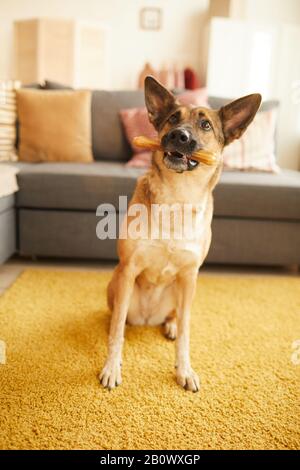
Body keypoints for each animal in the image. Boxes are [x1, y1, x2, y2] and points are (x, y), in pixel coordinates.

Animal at [99, 76, 262, 392]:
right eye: (173, 118)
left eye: (206, 125)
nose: (179, 136)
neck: (178, 196)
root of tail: (148, 319)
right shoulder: (129, 267)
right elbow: (116, 333)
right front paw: (112, 366)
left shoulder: (189, 276)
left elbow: (186, 332)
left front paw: (184, 370)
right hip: (116, 281)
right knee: (119, 319)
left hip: (181, 291)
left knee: (176, 316)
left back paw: (170, 325)